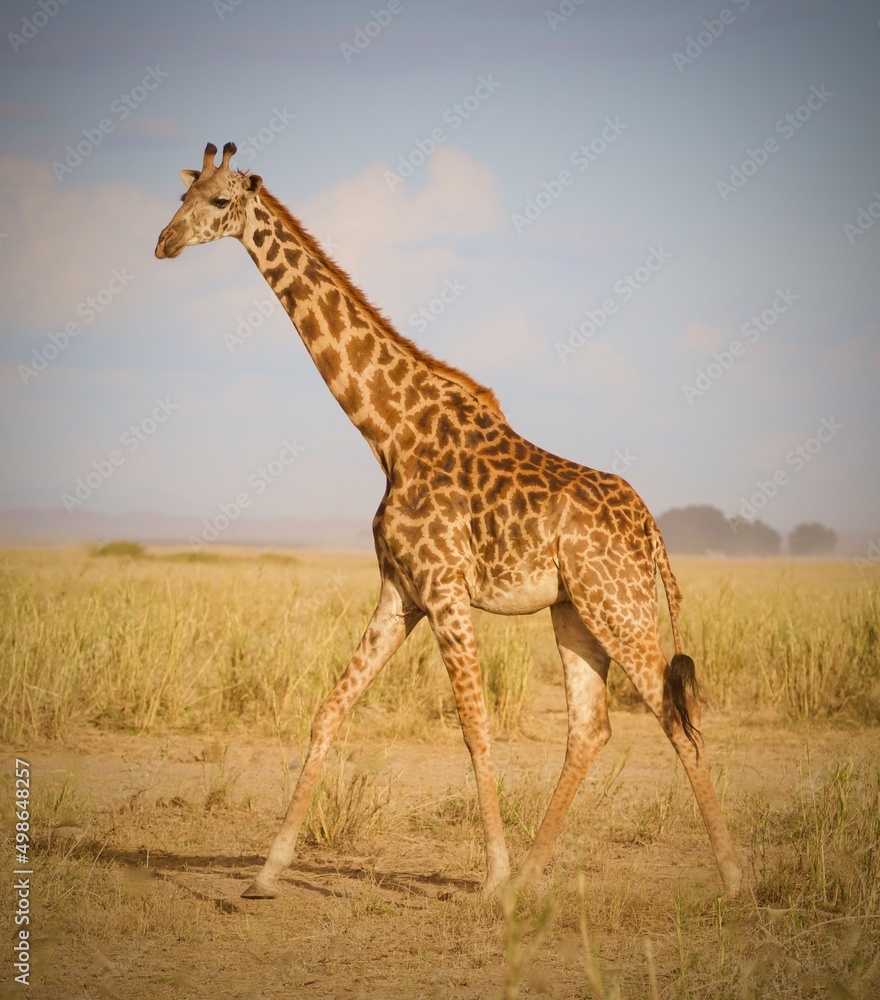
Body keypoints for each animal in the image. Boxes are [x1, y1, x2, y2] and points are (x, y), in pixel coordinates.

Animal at [156, 142, 743, 901]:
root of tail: (650, 529)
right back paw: (535, 877)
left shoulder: (444, 589)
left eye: (221, 201)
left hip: (623, 606)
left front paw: (490, 875)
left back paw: (732, 879)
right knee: (591, 727)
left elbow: (473, 724)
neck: (389, 431)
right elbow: (329, 709)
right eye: (183, 195)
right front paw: (267, 871)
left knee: (677, 718)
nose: (164, 242)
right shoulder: (400, 592)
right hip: (578, 611)